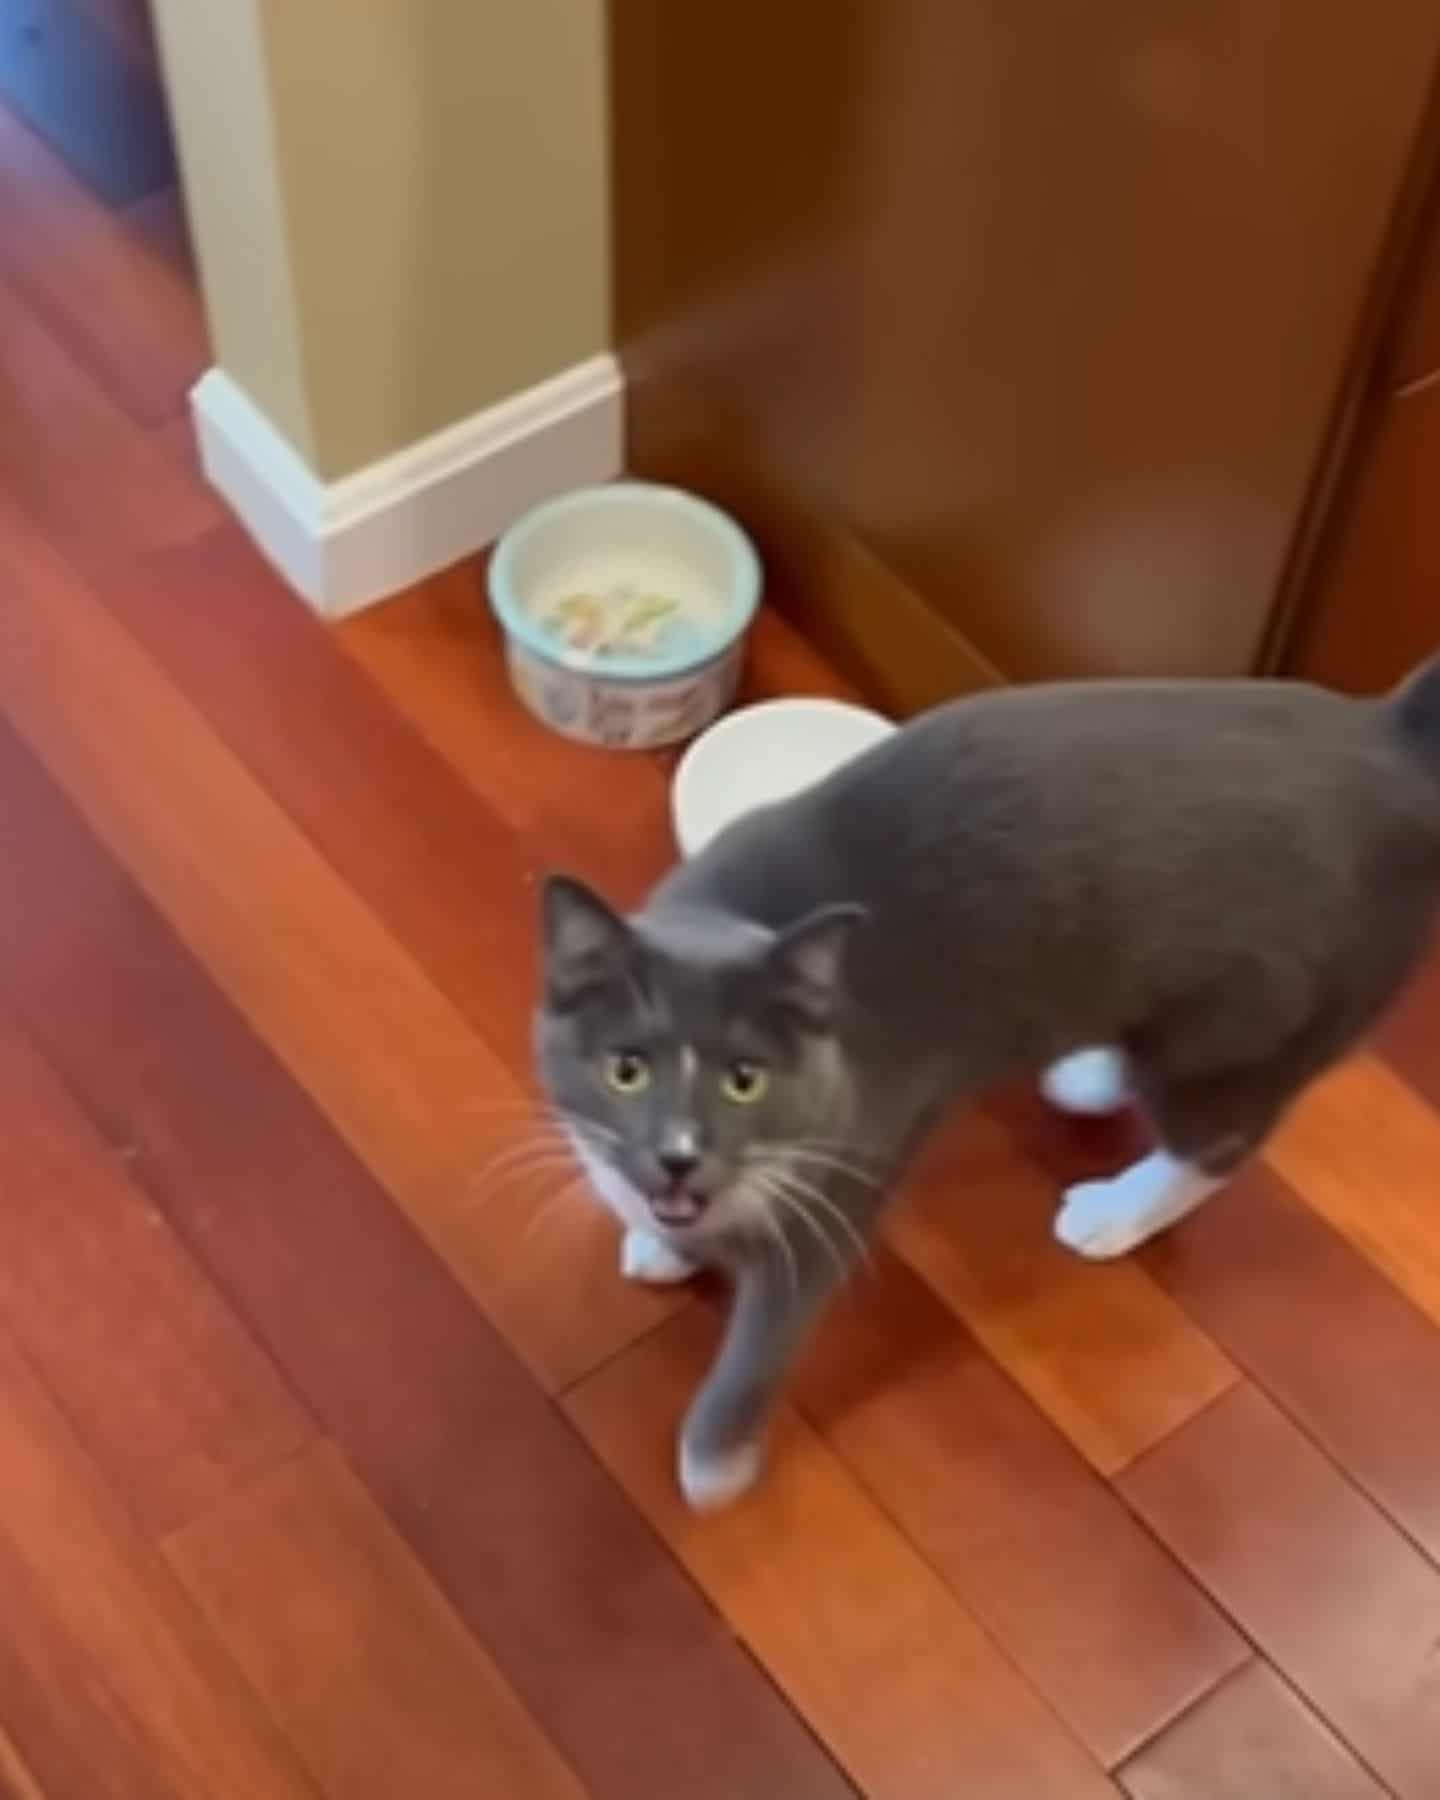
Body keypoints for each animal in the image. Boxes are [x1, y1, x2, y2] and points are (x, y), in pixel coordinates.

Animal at [532, 658, 1440, 1504]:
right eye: (625, 1069)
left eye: (746, 1080)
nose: (679, 1156)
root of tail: (1391, 734)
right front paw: (659, 1239)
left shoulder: (849, 1167)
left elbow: (765, 1336)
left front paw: (714, 1464)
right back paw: (1085, 1076)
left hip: (1249, 1028)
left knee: (1217, 1141)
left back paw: (1111, 1212)